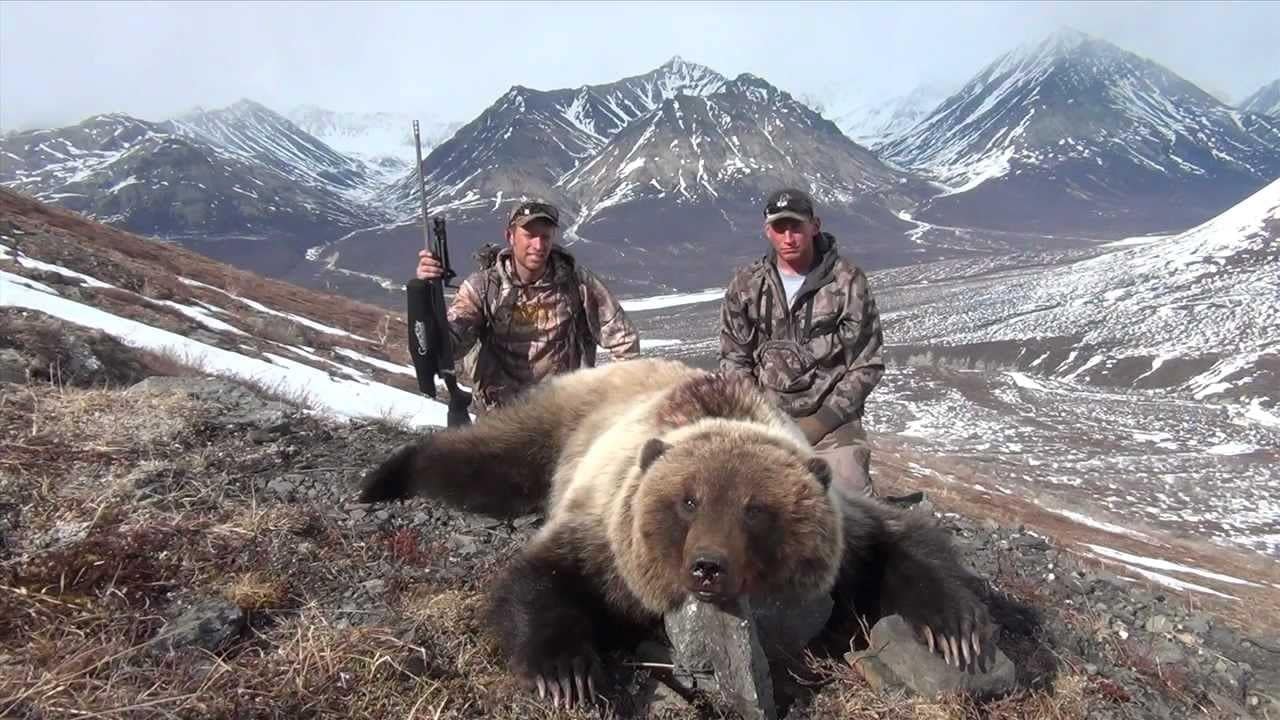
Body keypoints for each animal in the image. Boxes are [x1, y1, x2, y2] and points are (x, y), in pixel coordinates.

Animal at [355, 356, 993, 702]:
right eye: (688, 501)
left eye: (756, 509)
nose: (708, 566)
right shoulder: (608, 527)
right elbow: (542, 574)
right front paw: (567, 674)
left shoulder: (845, 529)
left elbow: (900, 544)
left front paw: (956, 630)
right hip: (561, 423)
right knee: (486, 460)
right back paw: (386, 477)